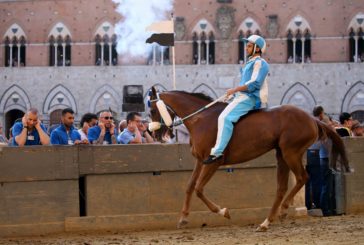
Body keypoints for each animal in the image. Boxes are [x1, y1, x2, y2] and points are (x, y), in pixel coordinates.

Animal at [147, 87, 350, 231]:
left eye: (151, 109)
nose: (154, 133)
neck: (202, 118)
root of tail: (312, 119)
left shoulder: (213, 162)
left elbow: (198, 189)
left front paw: (223, 211)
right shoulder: (200, 161)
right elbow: (190, 187)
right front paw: (183, 219)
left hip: (290, 153)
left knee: (302, 178)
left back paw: (283, 209)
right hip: (282, 155)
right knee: (282, 187)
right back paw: (267, 222)